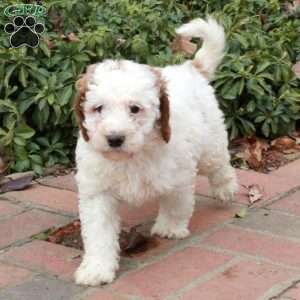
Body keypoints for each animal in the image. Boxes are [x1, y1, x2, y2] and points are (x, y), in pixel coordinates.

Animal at [74, 17, 237, 284]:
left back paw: (226, 187)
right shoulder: (97, 190)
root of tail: (190, 69)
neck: (133, 155)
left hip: (211, 142)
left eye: (135, 109)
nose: (114, 138)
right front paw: (96, 268)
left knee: (219, 165)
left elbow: (176, 203)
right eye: (98, 108)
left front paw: (170, 228)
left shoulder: (180, 174)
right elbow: (98, 232)